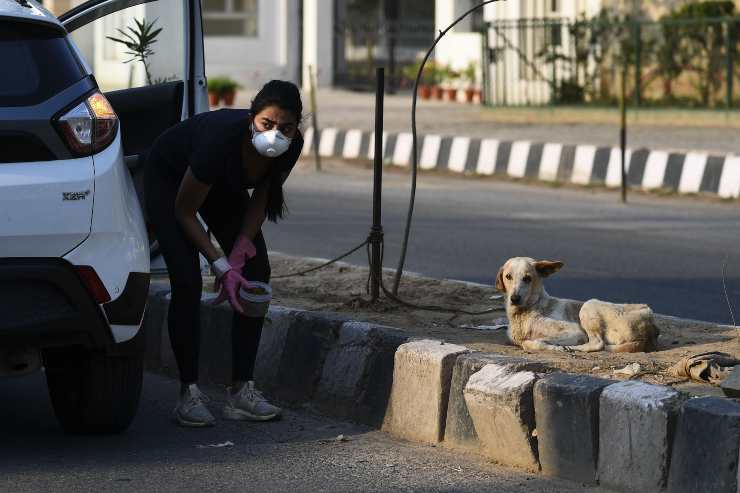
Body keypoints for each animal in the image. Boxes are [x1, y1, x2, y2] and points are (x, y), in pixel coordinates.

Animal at [498, 256, 660, 352]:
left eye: (527, 278)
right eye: (508, 276)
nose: (514, 298)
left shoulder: (576, 332)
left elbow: (532, 341)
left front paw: (555, 348)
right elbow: (527, 341)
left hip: (589, 305)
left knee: (598, 343)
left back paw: (573, 348)